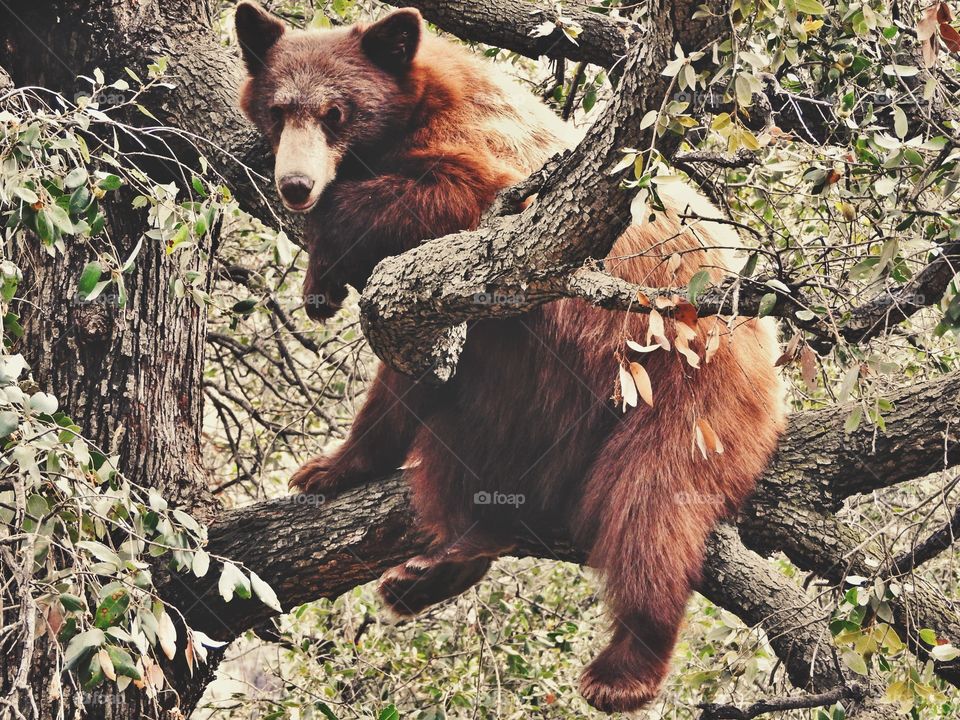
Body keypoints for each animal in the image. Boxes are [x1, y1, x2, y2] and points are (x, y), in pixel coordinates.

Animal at [235, 2, 786, 713]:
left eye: (338, 112)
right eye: (280, 110)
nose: (296, 184)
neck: (418, 113)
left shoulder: (496, 178)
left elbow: (454, 200)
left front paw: (331, 235)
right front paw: (321, 299)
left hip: (683, 387)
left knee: (652, 510)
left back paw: (623, 668)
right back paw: (428, 570)